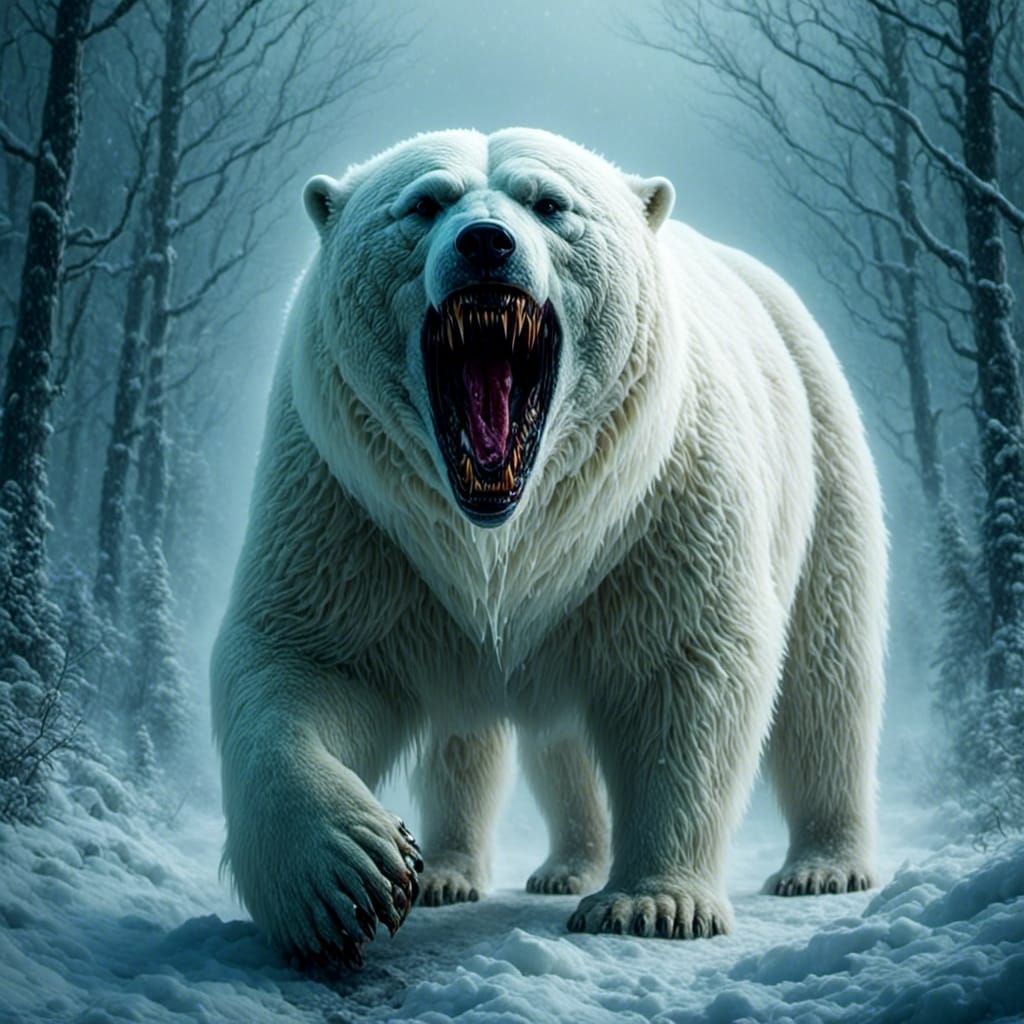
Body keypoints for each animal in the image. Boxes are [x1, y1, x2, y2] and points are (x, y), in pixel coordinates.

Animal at [211, 127, 886, 964]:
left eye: (549, 203)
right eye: (426, 202)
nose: (485, 243)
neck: (503, 534)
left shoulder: (663, 510)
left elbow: (689, 671)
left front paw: (650, 903)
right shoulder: (353, 518)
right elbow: (306, 660)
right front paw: (350, 871)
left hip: (823, 449)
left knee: (829, 676)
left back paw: (824, 865)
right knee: (497, 743)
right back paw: (482, 870)